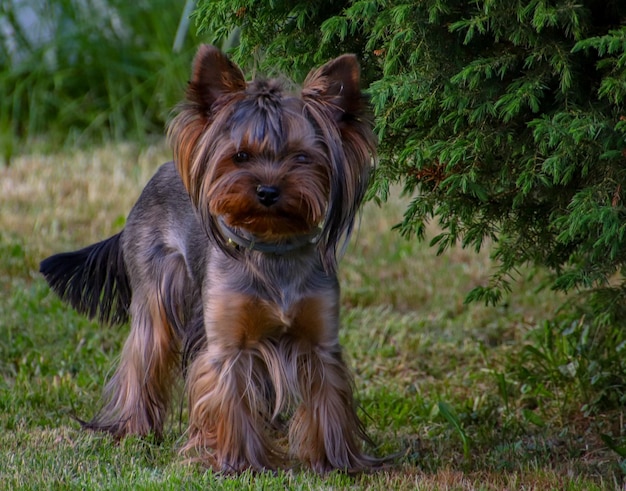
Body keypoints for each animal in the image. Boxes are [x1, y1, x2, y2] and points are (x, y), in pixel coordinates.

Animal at [42, 44, 380, 474]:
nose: (268, 191)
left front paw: (335, 462)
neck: (271, 247)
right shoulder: (227, 342)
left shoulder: (320, 340)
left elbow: (328, 400)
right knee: (143, 358)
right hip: (155, 292)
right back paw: (134, 428)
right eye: (240, 156)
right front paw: (236, 462)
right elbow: (229, 397)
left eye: (302, 158)